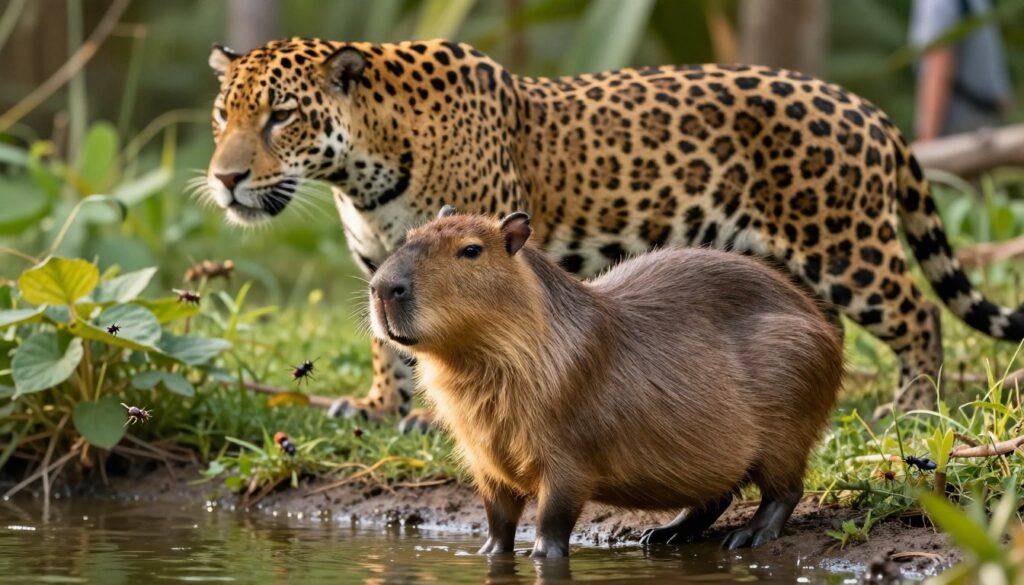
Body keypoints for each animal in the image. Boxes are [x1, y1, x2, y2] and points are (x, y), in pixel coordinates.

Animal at [203, 37, 1024, 430]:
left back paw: (913, 405)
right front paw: (378, 408)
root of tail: (867, 107)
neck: (362, 173)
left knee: (917, 314)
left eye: (281, 116)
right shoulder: (382, 261)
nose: (225, 178)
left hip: (844, 243)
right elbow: (388, 344)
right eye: (223, 115)